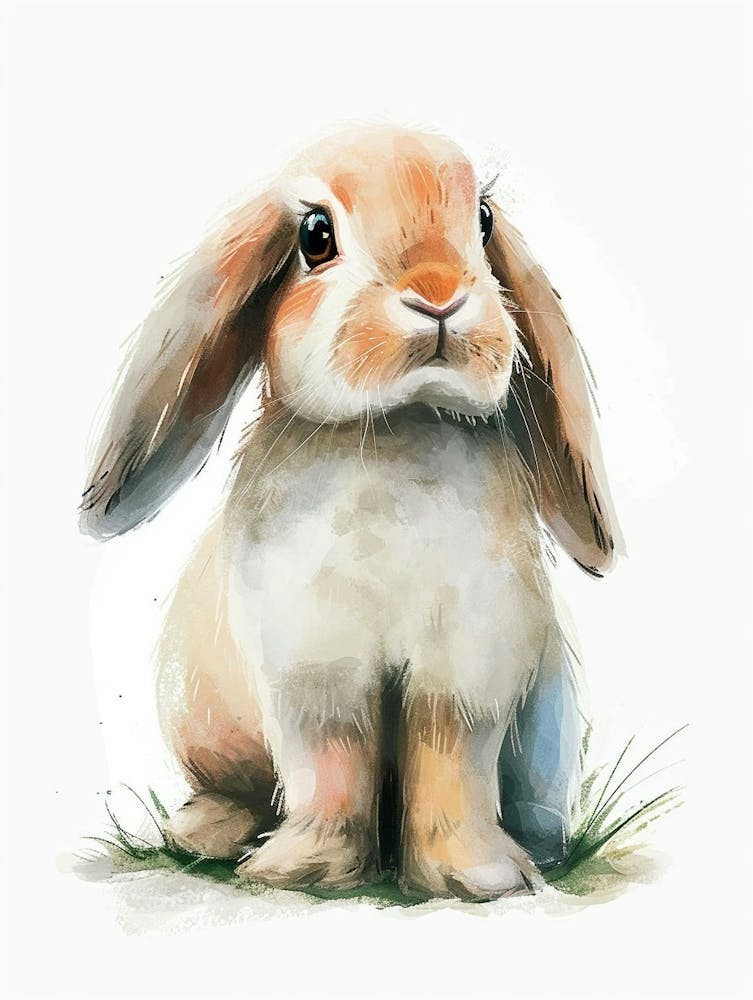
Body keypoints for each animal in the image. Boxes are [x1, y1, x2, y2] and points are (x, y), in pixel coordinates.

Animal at [80, 124, 622, 901]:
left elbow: (451, 757)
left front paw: (475, 876)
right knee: (239, 791)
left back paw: (538, 850)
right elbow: (331, 757)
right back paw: (205, 836)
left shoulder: (466, 666)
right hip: (208, 727)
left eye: (483, 219)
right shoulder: (313, 669)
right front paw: (302, 870)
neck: (393, 429)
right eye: (315, 235)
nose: (437, 295)